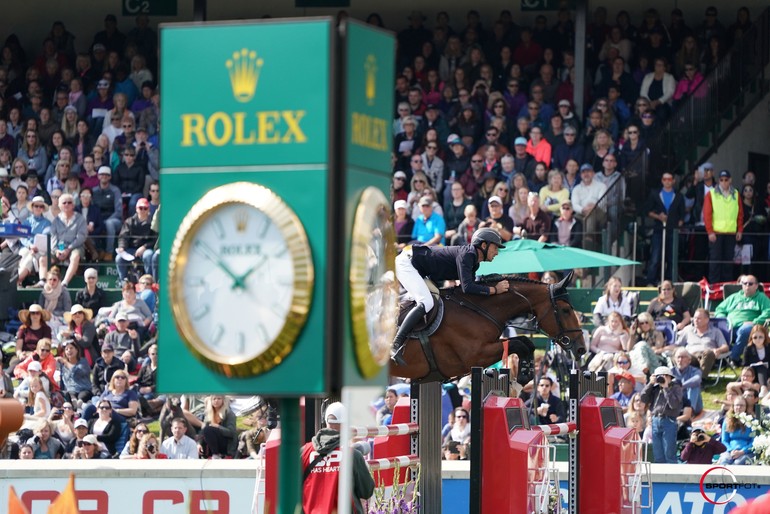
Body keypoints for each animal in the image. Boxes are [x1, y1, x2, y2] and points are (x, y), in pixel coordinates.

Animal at [388, 270, 584, 382]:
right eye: (566, 310)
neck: (476, 308)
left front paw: (525, 371)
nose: (581, 348)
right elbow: (519, 343)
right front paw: (524, 374)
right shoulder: (475, 355)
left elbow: (525, 342)